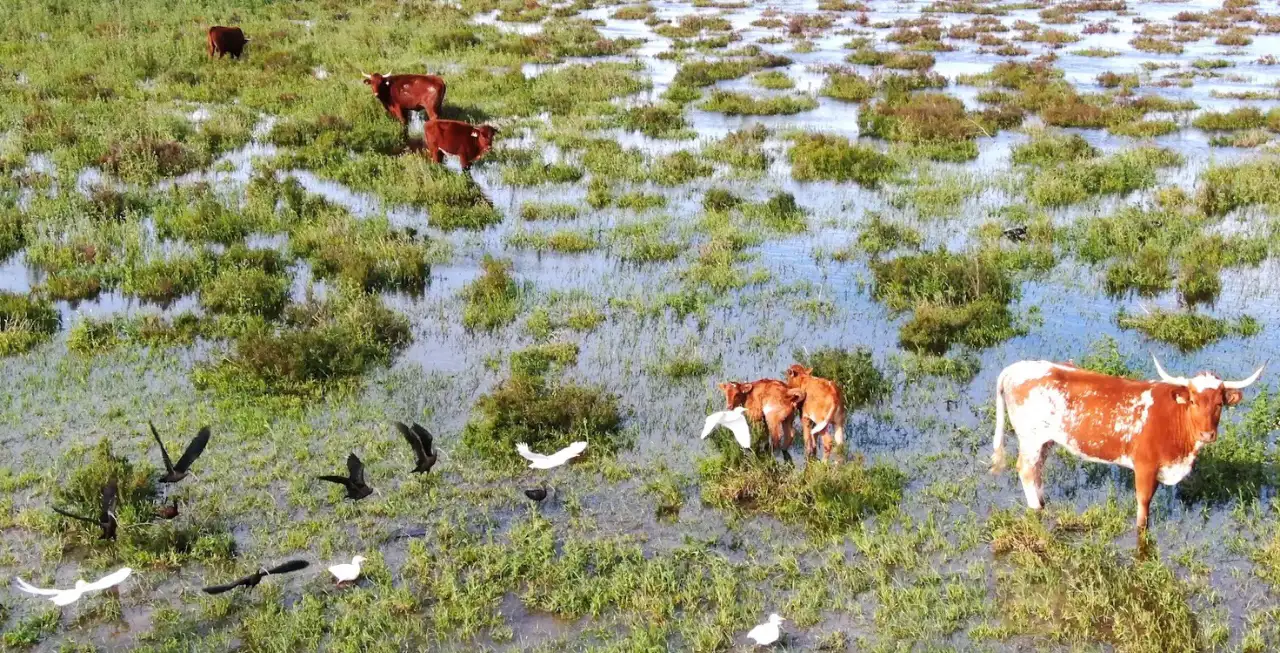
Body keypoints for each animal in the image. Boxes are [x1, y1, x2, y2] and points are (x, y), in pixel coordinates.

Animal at [990, 356, 1264, 543]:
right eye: (1194, 401)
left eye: (1219, 404)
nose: (1207, 434)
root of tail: (1016, 368)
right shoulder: (1145, 466)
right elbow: (1143, 507)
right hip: (1031, 439)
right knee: (1026, 470)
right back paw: (1036, 508)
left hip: (1045, 441)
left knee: (1036, 471)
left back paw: (1042, 502)